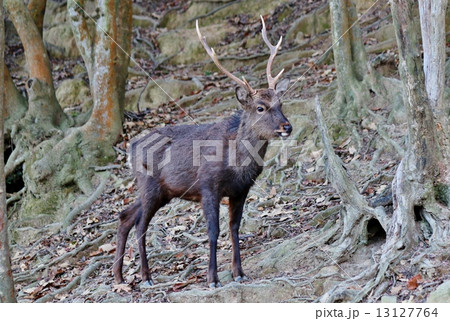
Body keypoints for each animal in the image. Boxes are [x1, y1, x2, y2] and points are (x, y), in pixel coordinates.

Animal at [113, 16, 292, 288]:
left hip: (162, 191)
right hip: (149, 184)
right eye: (260, 107)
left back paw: (119, 276)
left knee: (126, 216)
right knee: (140, 225)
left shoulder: (241, 190)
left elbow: (234, 228)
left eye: (281, 104)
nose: (287, 126)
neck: (235, 164)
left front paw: (239, 272)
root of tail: (130, 147)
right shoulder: (208, 186)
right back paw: (145, 276)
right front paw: (212, 278)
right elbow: (213, 231)